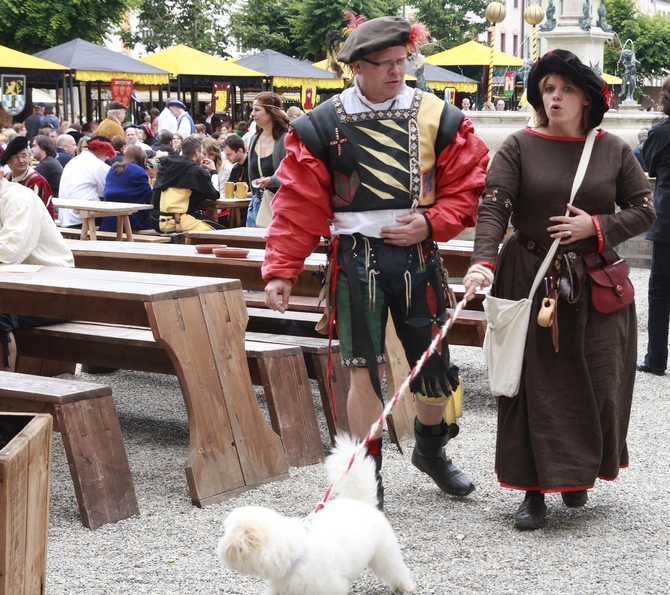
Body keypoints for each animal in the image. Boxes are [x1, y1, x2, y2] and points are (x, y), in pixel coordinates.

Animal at [218, 434, 414, 595]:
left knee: (396, 571)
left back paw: (405, 586)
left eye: (226, 532)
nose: (218, 546)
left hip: (385, 554)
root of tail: (360, 502)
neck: (295, 555)